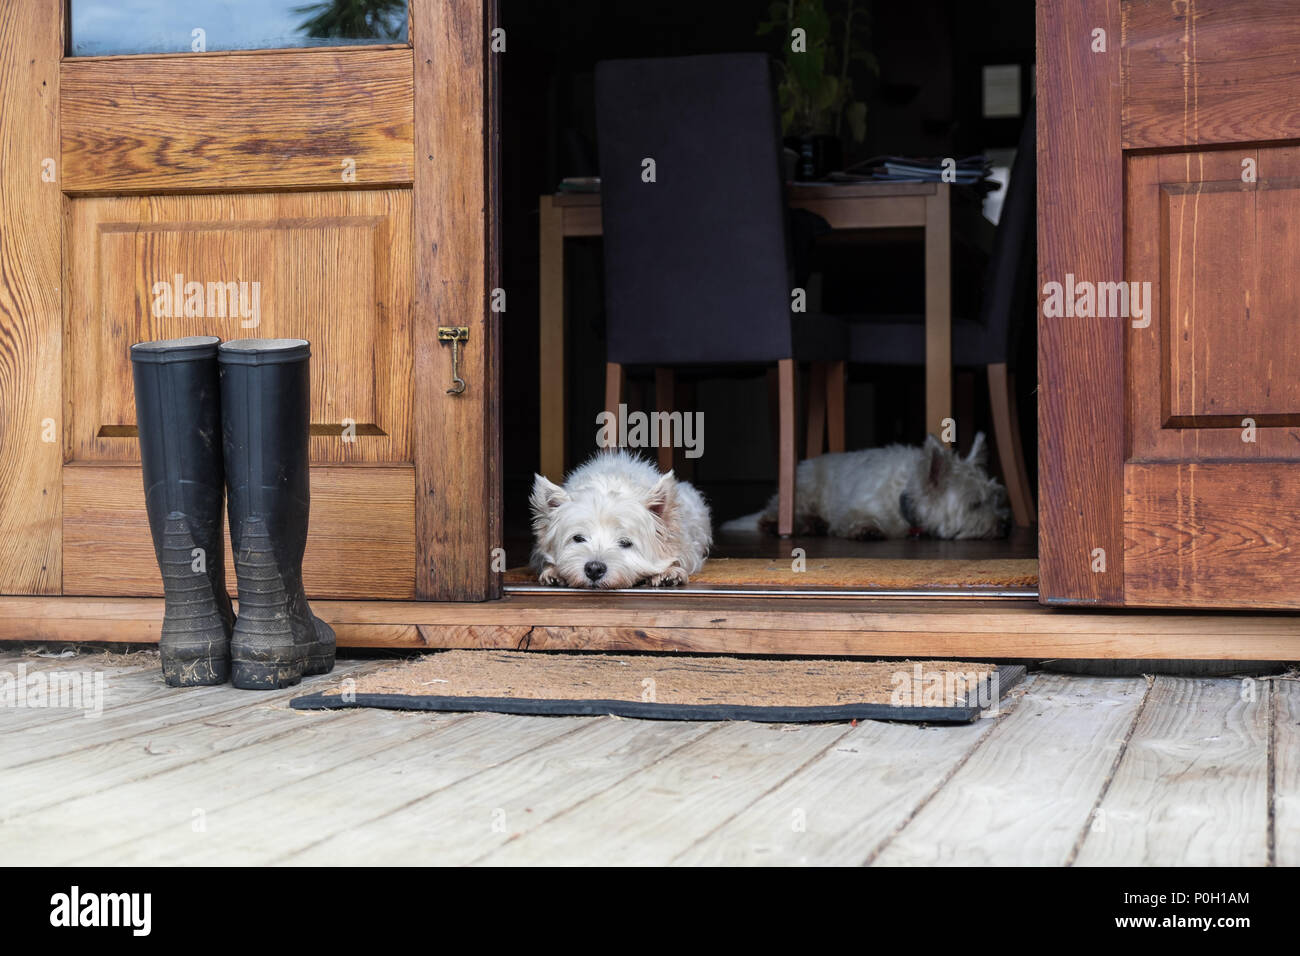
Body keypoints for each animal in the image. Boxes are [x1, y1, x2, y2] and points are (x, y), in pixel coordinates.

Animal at [525, 450, 712, 590]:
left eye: (625, 542)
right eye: (578, 538)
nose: (594, 569)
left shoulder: (687, 547)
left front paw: (669, 573)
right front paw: (553, 572)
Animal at [728, 434, 1008, 541]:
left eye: (996, 498)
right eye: (975, 504)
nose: (1005, 527)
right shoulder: (854, 509)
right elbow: (858, 519)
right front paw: (867, 529)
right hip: (804, 488)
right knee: (776, 511)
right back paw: (784, 522)